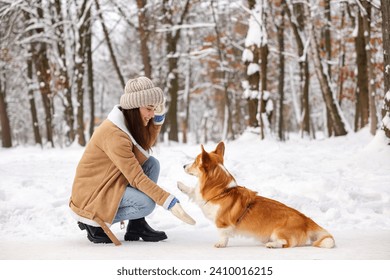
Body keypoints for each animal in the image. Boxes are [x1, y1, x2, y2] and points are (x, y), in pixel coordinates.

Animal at [178, 142, 334, 249]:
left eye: (195, 161)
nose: (183, 166)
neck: (223, 191)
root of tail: (306, 220)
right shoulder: (200, 198)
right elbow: (193, 192)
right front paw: (180, 185)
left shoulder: (222, 223)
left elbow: (223, 235)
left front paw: (220, 244)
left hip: (278, 232)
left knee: (287, 243)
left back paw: (272, 245)